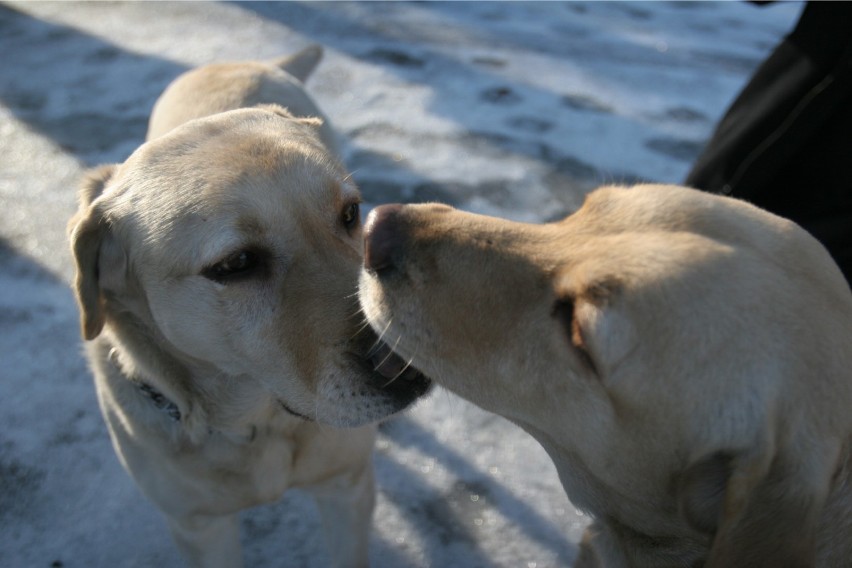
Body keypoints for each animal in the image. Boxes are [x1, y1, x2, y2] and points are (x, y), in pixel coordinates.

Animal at [67, 46, 430, 564]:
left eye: (350, 214)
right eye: (236, 263)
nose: (408, 364)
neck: (259, 424)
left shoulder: (347, 488)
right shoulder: (199, 527)